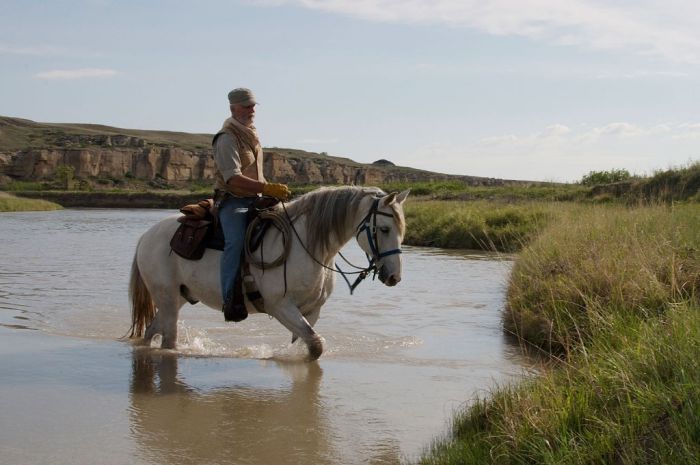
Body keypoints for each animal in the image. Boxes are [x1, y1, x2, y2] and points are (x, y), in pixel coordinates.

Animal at [129, 185, 408, 358]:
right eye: (384, 229)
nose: (394, 277)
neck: (307, 246)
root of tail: (146, 236)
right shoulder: (280, 306)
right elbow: (315, 345)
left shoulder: (311, 310)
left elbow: (308, 343)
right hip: (166, 297)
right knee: (168, 341)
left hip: (178, 297)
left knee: (151, 331)